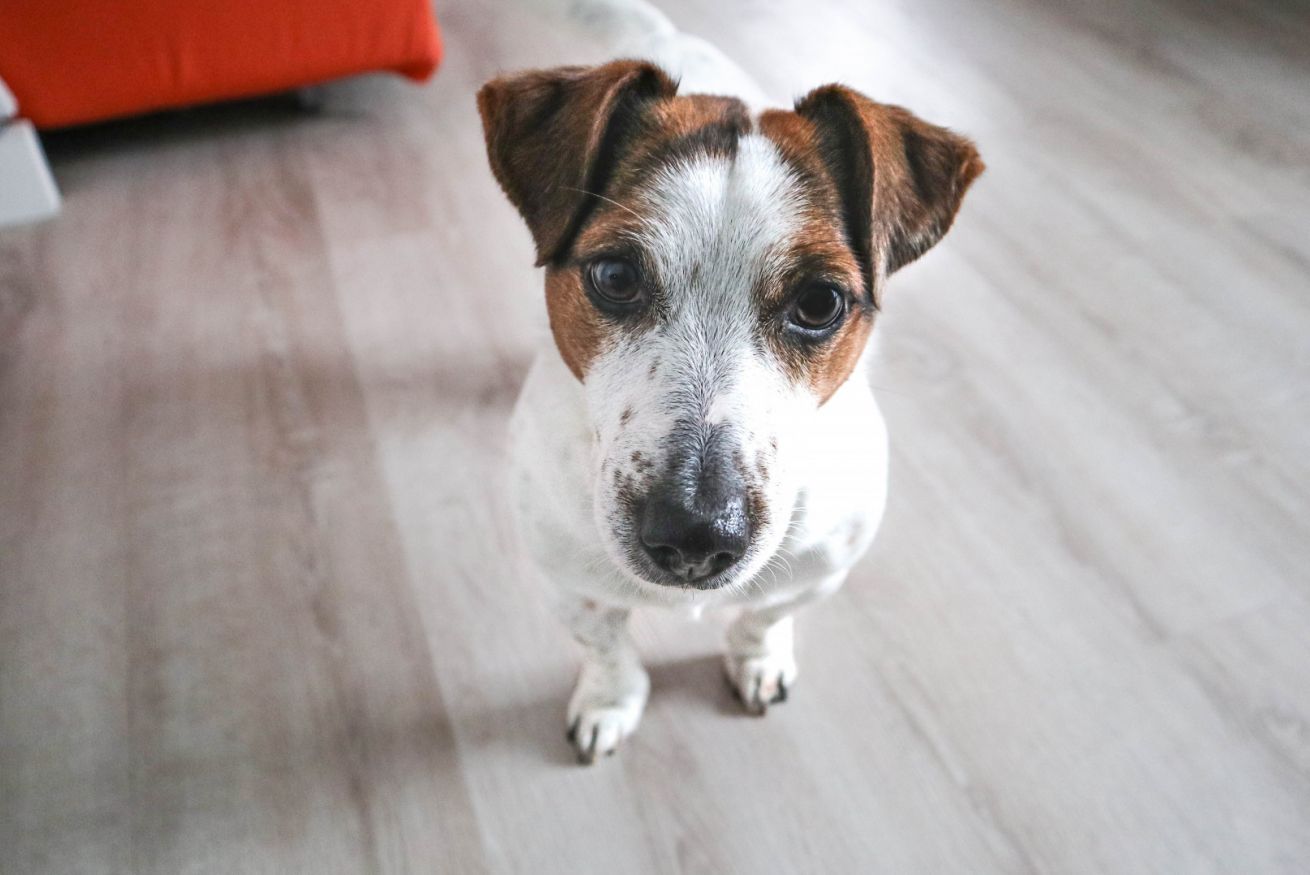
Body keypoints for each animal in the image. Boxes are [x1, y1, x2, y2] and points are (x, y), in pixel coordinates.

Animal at [477, 58, 982, 764]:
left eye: (820, 302)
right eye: (614, 275)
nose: (694, 533)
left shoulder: (817, 572)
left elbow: (763, 615)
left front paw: (758, 660)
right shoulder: (570, 586)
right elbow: (606, 648)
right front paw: (609, 701)